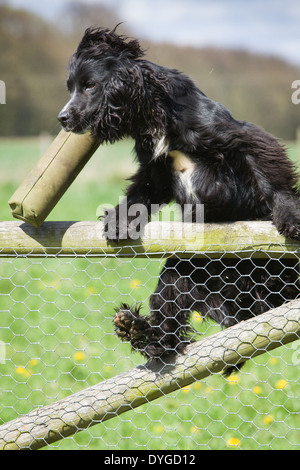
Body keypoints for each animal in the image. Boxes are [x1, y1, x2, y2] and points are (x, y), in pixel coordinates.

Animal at [58, 26, 300, 370]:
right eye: (71, 87)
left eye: (90, 85)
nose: (62, 118)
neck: (154, 116)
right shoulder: (155, 169)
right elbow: (141, 193)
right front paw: (118, 223)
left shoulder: (238, 136)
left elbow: (268, 171)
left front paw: (290, 217)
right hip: (186, 266)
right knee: (168, 307)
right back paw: (139, 330)